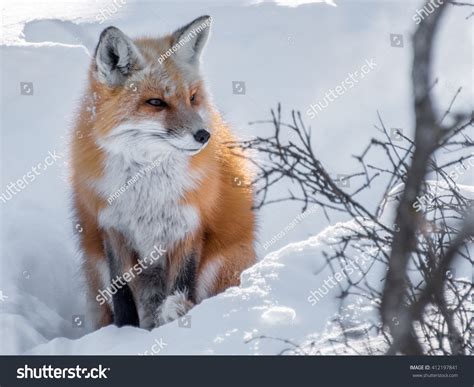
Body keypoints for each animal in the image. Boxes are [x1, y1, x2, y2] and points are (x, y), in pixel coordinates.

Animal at [70, 15, 256, 330]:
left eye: (192, 98)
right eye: (155, 102)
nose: (204, 136)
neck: (147, 186)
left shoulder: (189, 225)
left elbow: (182, 283)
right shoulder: (112, 226)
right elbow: (121, 292)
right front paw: (123, 332)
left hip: (222, 263)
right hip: (96, 265)